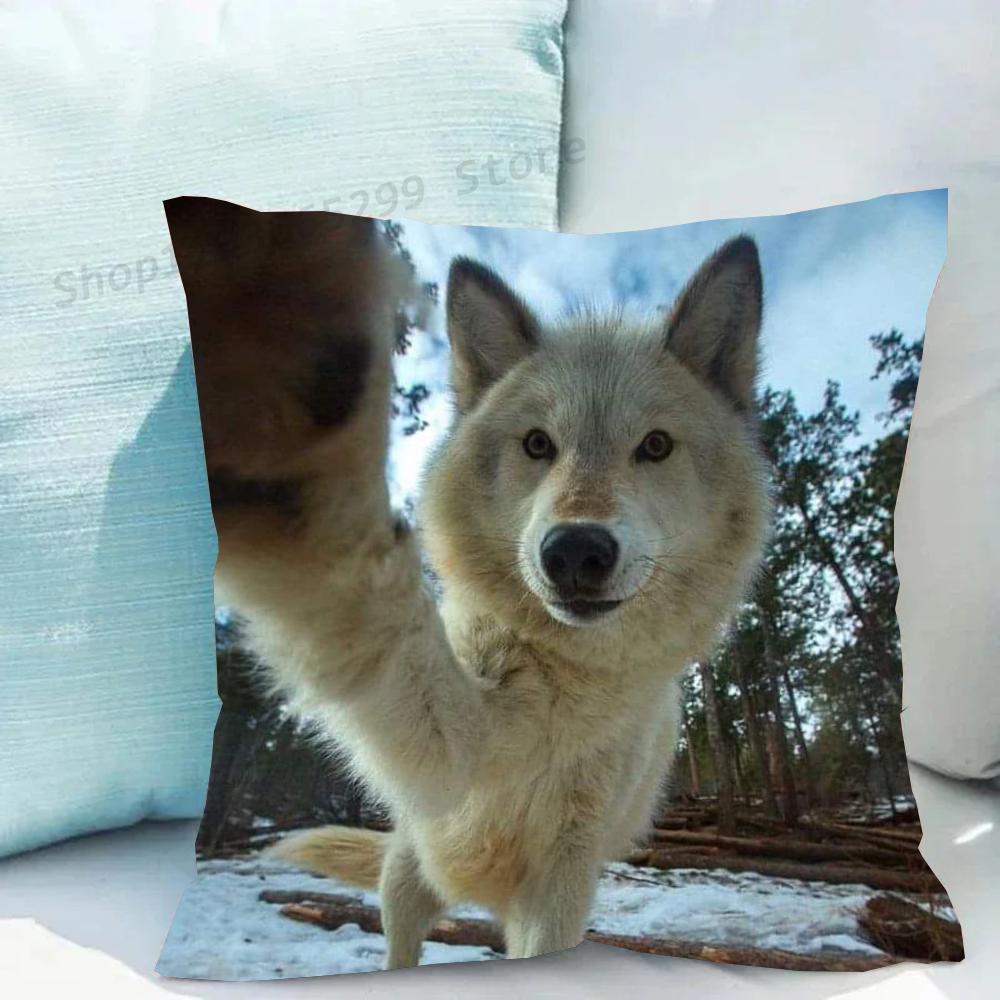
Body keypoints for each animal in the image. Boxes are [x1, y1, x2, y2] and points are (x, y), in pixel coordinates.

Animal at [166, 198, 771, 968]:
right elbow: (382, 607)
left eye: (655, 446)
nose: (576, 553)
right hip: (408, 874)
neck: (564, 681)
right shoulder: (454, 749)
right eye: (538, 444)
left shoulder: (563, 878)